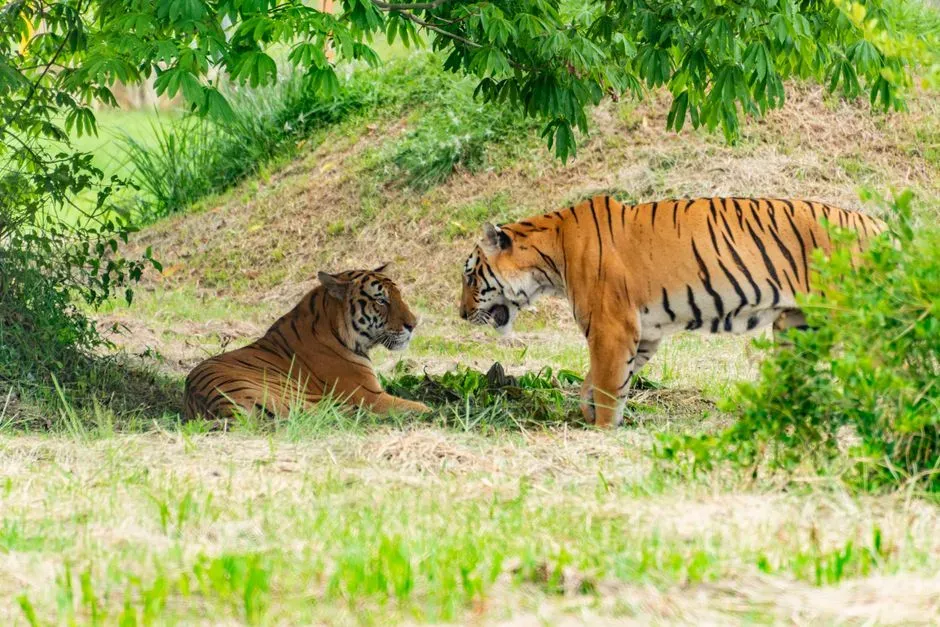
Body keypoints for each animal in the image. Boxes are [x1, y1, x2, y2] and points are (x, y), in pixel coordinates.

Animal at [184, 265, 431, 421]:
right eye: (381, 301)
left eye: (399, 296)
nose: (413, 324)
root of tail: (222, 407)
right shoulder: (370, 396)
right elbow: (416, 405)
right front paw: (428, 408)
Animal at [459, 196, 886, 428]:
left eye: (469, 275)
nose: (461, 314)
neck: (551, 255)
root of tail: (879, 224)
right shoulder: (643, 331)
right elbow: (603, 380)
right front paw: (588, 412)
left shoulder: (611, 326)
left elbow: (607, 382)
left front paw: (601, 429)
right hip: (798, 325)